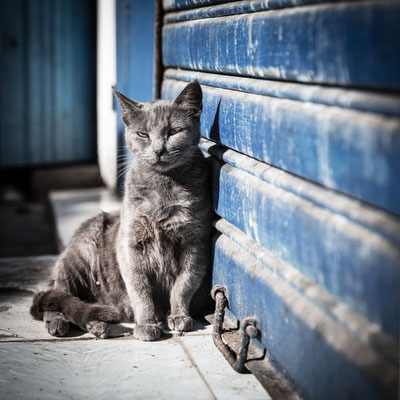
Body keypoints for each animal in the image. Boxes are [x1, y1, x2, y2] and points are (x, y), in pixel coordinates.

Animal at [30, 81, 212, 340]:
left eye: (174, 132)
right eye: (143, 134)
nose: (159, 150)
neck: (164, 187)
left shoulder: (195, 245)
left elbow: (183, 284)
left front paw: (179, 316)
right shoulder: (129, 245)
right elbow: (140, 289)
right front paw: (146, 324)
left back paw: (98, 323)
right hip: (78, 258)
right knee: (58, 295)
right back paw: (60, 321)